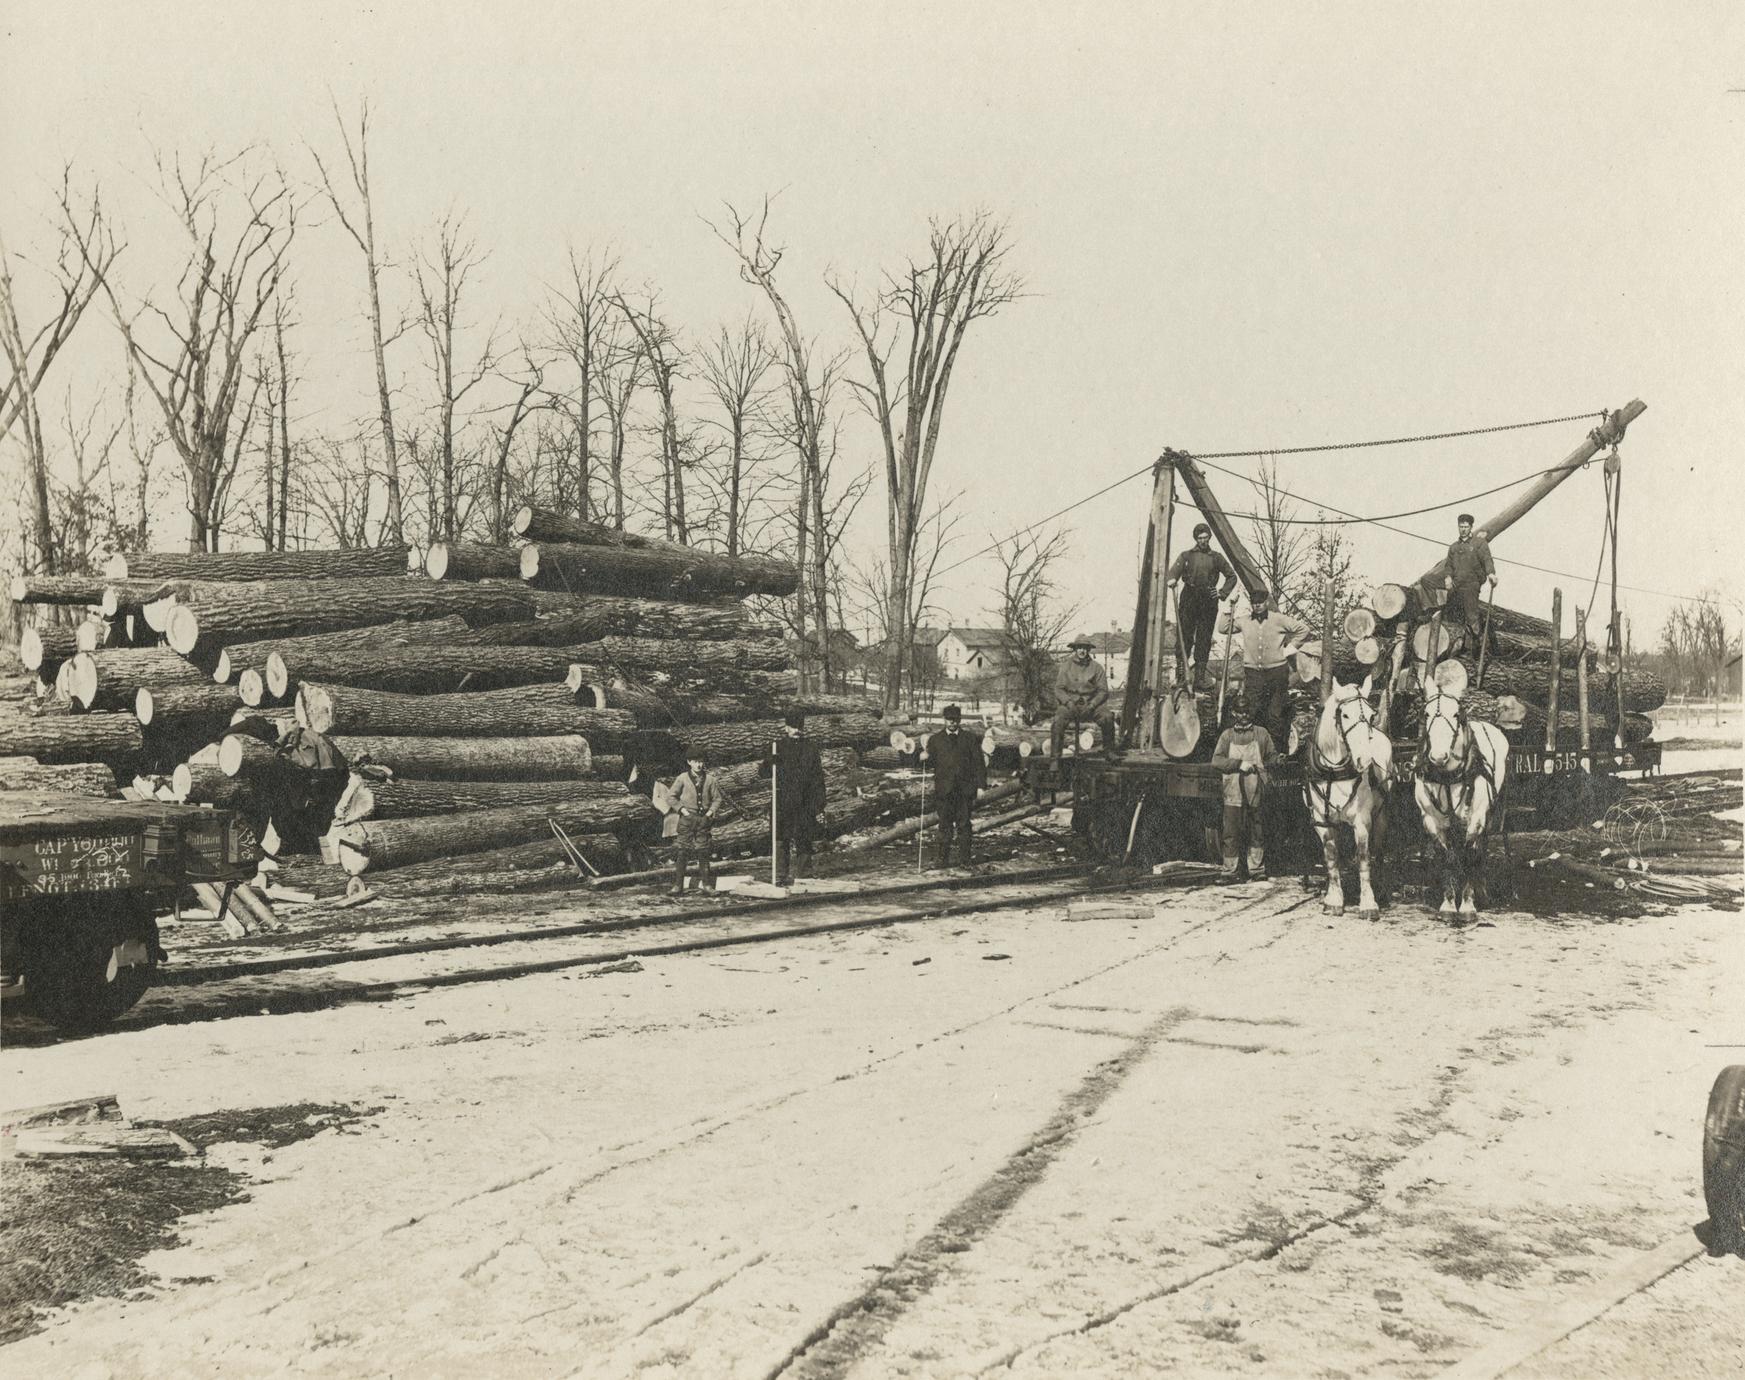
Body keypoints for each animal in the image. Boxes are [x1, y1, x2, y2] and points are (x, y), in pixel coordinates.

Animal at [1305, 676, 1396, 914]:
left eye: (1372, 715)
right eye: (1344, 715)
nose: (1365, 760)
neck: (1333, 772)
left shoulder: (1362, 820)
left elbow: (1364, 858)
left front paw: (1368, 902)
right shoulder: (1323, 821)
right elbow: (1331, 858)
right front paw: (1334, 899)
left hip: (1381, 813)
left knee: (1378, 850)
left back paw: (1381, 889)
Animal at [1409, 687, 1507, 914]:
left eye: (1456, 715)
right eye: (1426, 714)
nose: (1438, 756)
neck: (1447, 776)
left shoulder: (1477, 817)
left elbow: (1471, 854)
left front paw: (1468, 904)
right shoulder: (1432, 819)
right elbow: (1446, 856)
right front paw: (1448, 902)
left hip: (1488, 814)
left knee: (1481, 847)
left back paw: (1482, 891)